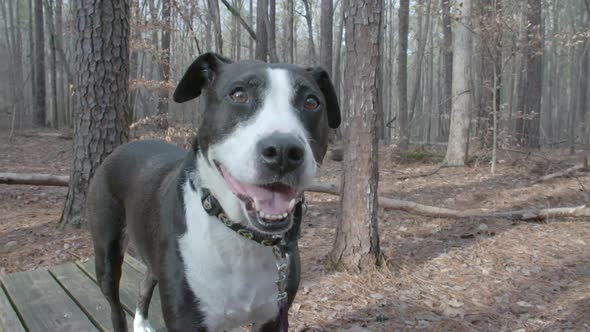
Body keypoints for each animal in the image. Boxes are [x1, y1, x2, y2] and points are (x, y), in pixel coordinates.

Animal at [85, 52, 340, 332]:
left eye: (312, 102)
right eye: (239, 95)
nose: (283, 151)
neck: (241, 235)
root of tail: (123, 147)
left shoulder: (273, 317)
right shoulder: (187, 321)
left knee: (148, 276)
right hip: (106, 251)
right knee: (115, 305)